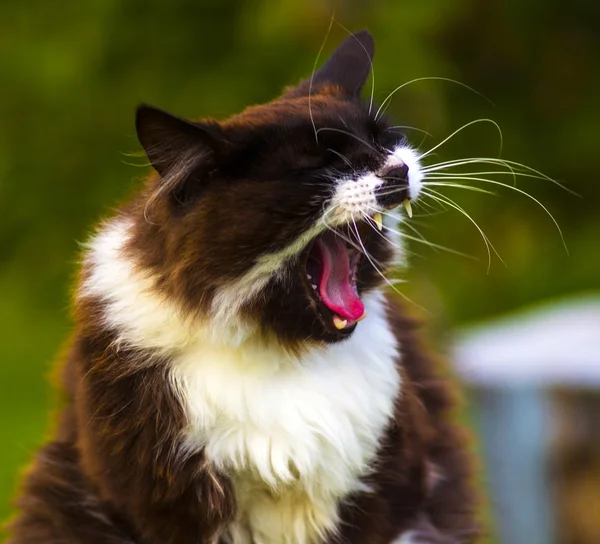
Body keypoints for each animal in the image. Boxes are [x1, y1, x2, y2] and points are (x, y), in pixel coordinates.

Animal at [5, 30, 478, 544]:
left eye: (386, 140)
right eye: (321, 166)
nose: (396, 171)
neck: (282, 354)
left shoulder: (391, 490)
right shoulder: (164, 505)